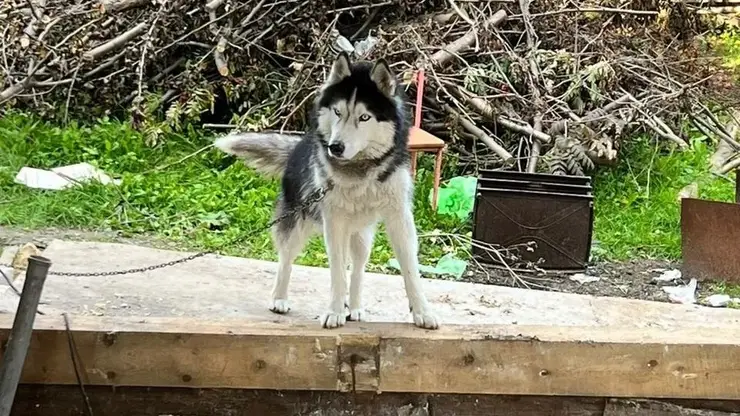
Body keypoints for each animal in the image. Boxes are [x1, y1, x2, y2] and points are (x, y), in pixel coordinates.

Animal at [214, 53, 440, 330]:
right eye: (338, 111)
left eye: (365, 117)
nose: (335, 147)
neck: (358, 170)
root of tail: (299, 144)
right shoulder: (333, 222)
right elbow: (336, 272)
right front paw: (334, 311)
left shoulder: (399, 217)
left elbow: (409, 269)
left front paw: (422, 312)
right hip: (298, 222)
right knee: (286, 259)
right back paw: (279, 299)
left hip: (361, 237)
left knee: (357, 269)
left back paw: (355, 307)